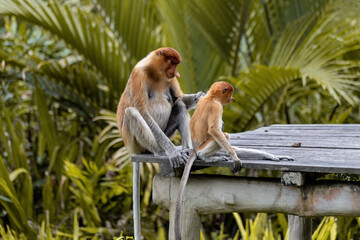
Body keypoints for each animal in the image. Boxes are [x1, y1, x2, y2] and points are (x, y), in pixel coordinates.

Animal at [173, 81, 294, 240]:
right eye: (230, 92)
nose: (232, 98)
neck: (211, 97)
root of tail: (194, 149)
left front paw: (274, 156)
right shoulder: (216, 107)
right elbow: (214, 130)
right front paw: (235, 158)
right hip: (203, 147)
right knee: (223, 134)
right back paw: (206, 156)